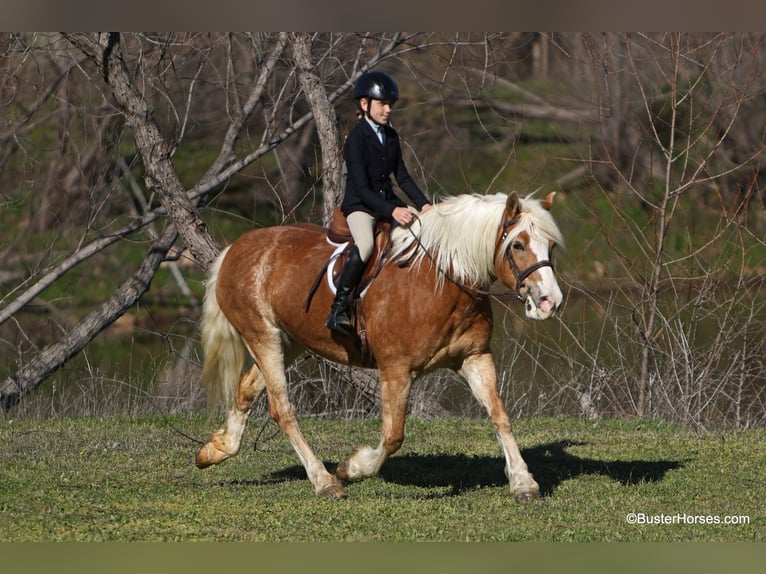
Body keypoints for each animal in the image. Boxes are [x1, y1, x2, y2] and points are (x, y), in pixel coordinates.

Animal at [195, 191, 568, 502]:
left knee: (247, 388)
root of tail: (235, 249)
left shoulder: (474, 358)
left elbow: (499, 416)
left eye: (549, 246)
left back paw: (216, 450)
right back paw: (325, 481)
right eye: (518, 245)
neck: (440, 280)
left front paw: (523, 483)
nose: (550, 302)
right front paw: (352, 468)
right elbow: (393, 436)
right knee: (282, 409)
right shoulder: (396, 370)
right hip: (263, 336)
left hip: (290, 341)